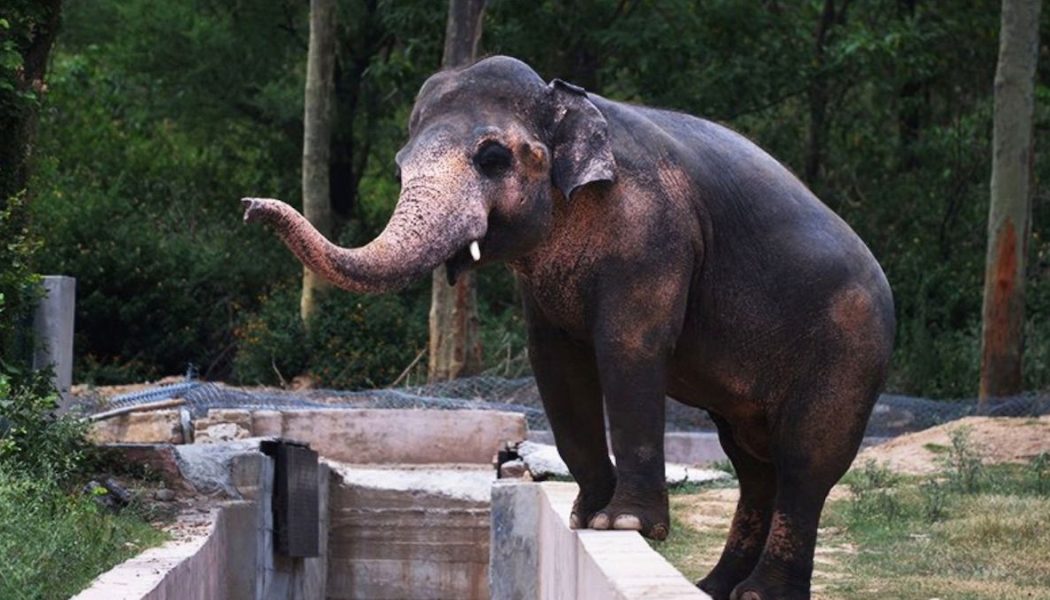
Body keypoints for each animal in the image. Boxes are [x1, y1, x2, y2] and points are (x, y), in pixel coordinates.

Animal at [243, 55, 895, 600]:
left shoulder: (654, 233)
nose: (250, 207)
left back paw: (758, 594)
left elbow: (629, 348)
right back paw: (716, 589)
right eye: (400, 169)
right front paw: (587, 518)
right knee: (753, 464)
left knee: (805, 464)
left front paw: (624, 523)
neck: (568, 102)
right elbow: (553, 361)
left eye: (492, 158)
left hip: (850, 351)